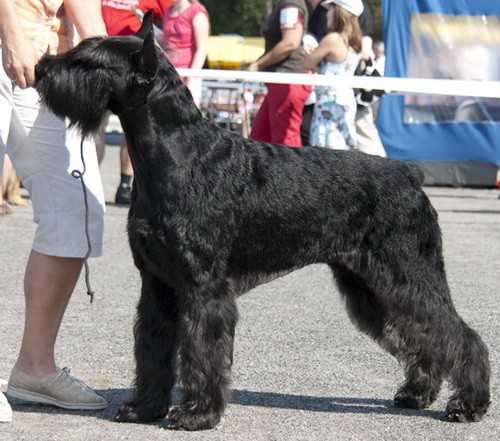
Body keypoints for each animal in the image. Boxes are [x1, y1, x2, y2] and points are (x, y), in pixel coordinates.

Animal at [35, 11, 488, 430]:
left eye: (90, 62)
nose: (41, 68)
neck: (176, 154)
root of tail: (409, 174)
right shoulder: (158, 284)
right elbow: (152, 348)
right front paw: (145, 408)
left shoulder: (204, 287)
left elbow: (202, 351)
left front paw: (197, 413)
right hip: (371, 287)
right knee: (420, 334)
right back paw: (417, 393)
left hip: (406, 274)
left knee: (457, 334)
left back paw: (468, 404)